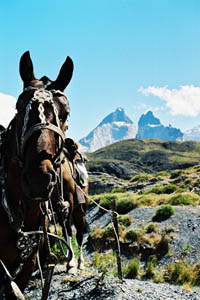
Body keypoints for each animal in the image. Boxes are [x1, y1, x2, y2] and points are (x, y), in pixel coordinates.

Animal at [0, 51, 87, 298]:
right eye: (19, 108)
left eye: (66, 113)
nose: (38, 179)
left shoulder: (26, 264)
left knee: (76, 230)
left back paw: (76, 263)